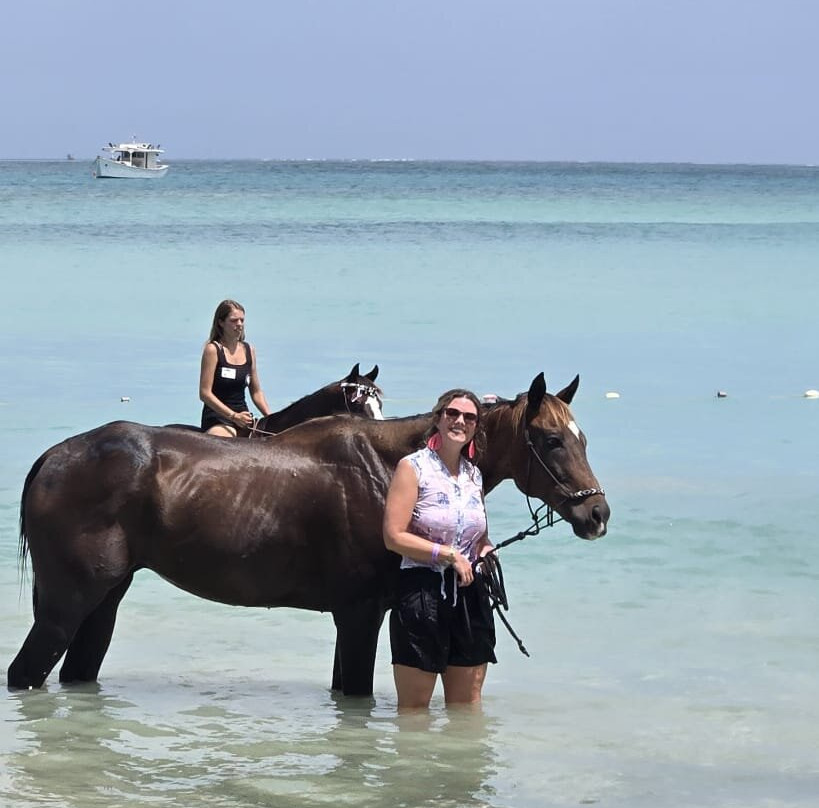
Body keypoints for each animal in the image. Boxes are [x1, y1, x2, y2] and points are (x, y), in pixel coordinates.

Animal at [8, 372, 609, 695]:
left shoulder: (354, 617)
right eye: (551, 439)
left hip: (104, 600)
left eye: (581, 438)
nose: (597, 513)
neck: (383, 468)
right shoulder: (361, 614)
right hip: (66, 605)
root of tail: (53, 457)